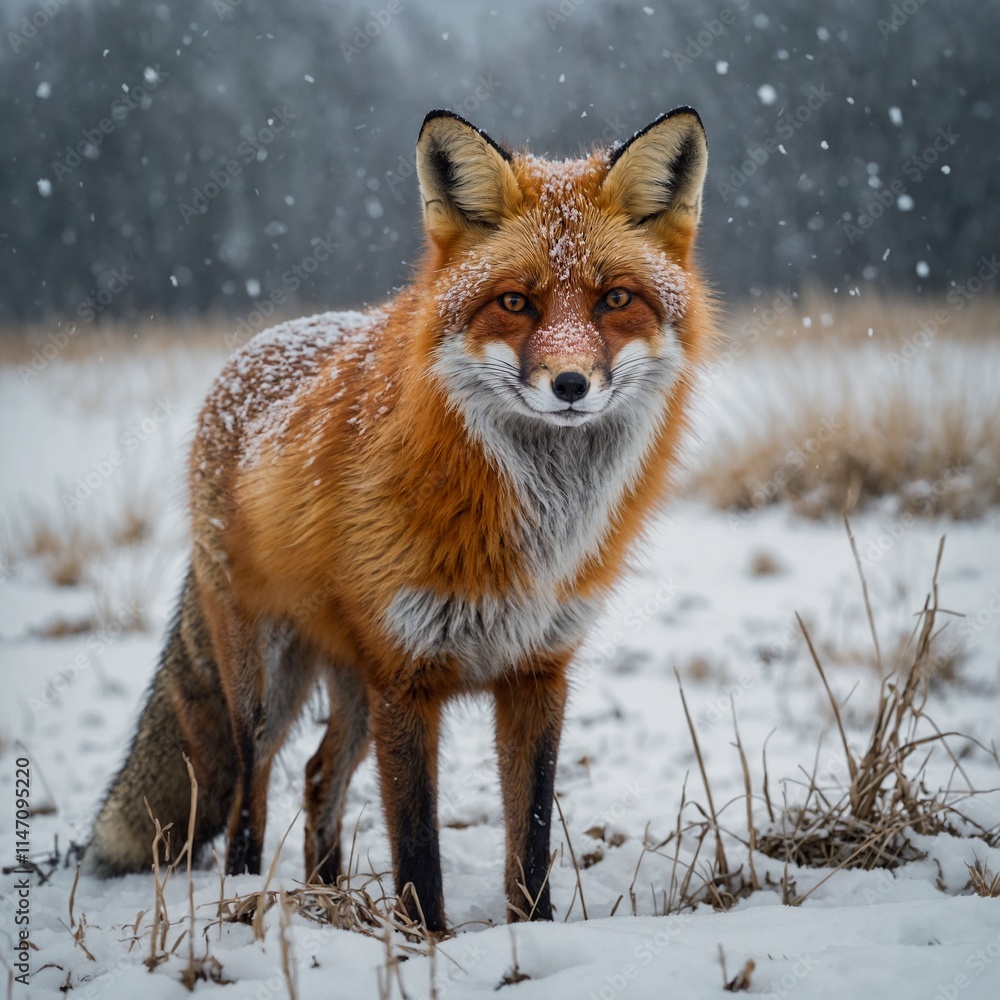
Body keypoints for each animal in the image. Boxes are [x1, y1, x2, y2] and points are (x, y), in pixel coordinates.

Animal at [85, 107, 714, 933]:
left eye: (614, 299)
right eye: (515, 302)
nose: (571, 384)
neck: (535, 523)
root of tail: (249, 353)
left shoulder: (537, 672)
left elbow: (531, 837)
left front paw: (532, 933)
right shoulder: (404, 676)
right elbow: (416, 842)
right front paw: (427, 941)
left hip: (351, 684)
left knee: (318, 774)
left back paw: (324, 894)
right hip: (268, 681)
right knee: (256, 784)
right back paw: (246, 893)